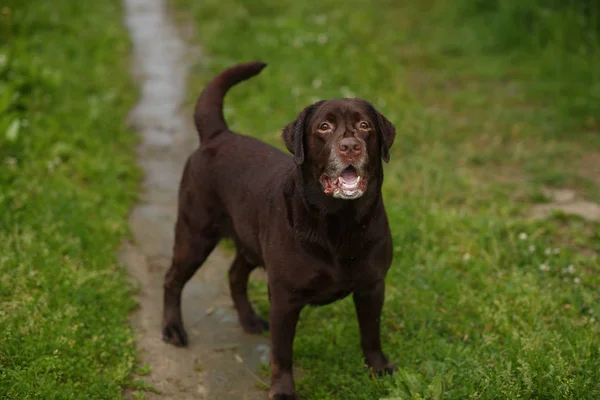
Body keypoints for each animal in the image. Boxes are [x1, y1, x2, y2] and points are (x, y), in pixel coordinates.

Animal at [163, 62, 398, 400]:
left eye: (365, 125)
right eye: (324, 127)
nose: (350, 146)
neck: (339, 222)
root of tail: (217, 134)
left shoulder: (372, 286)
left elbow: (371, 334)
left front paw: (378, 369)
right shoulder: (285, 298)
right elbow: (282, 352)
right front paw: (284, 391)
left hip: (248, 241)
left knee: (235, 274)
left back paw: (248, 319)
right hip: (195, 235)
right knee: (172, 279)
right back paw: (172, 329)